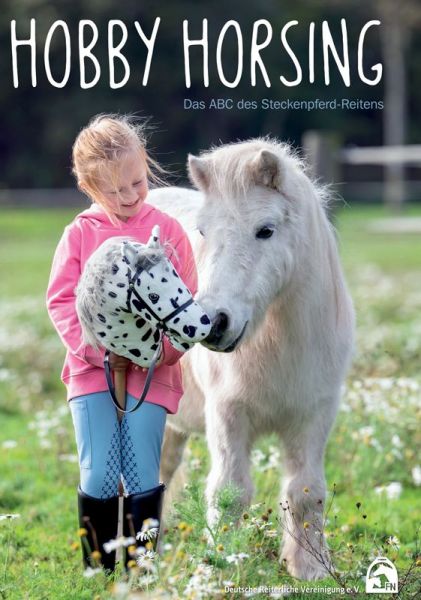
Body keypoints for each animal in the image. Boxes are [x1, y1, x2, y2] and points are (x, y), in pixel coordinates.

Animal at [146, 138, 352, 580]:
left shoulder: (313, 417)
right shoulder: (228, 416)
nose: (213, 323)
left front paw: (310, 568)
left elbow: (305, 491)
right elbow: (230, 492)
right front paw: (222, 564)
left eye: (265, 230)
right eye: (203, 231)